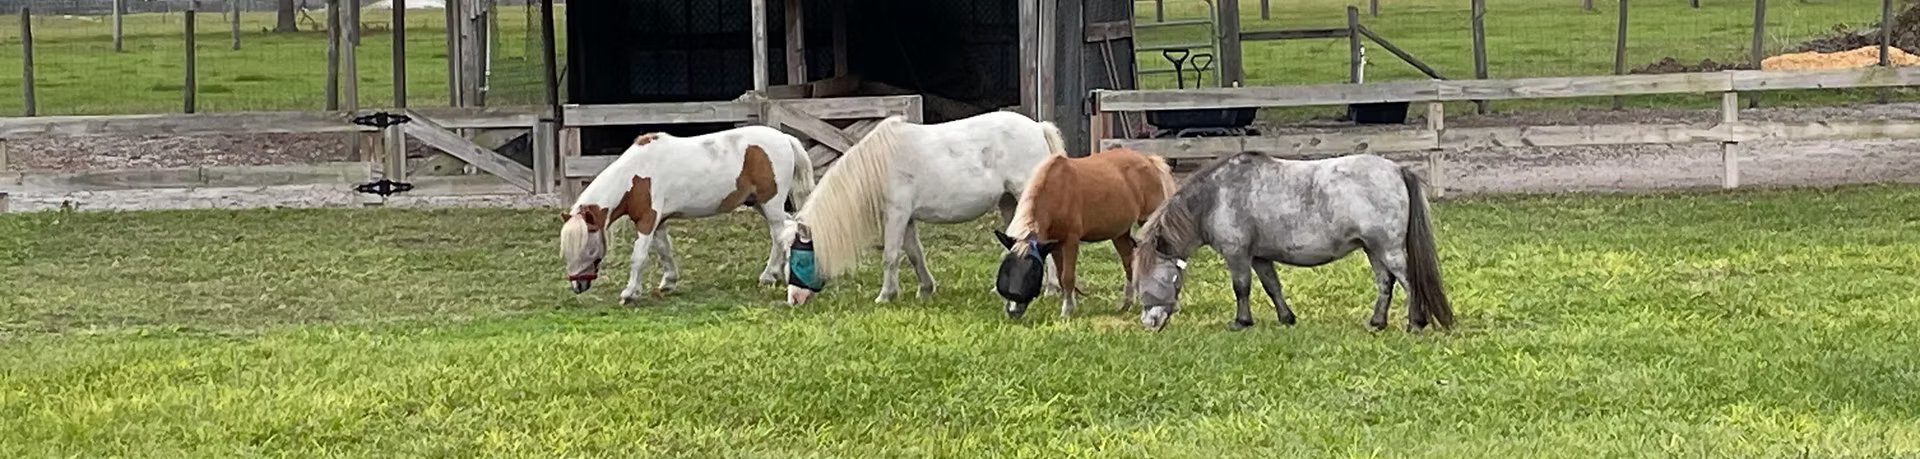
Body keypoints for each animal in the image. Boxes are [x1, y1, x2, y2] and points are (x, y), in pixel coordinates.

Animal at [559, 125, 816, 305]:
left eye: (588, 249)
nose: (577, 286)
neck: (635, 174)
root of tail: (785, 138)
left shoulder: (646, 221)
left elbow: (638, 257)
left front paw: (629, 293)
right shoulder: (658, 222)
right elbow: (664, 251)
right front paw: (668, 282)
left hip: (771, 204)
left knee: (780, 235)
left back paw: (770, 275)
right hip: (760, 204)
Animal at [780, 111, 1068, 305]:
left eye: (798, 259)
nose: (794, 299)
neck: (879, 165)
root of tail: (1038, 128)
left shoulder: (896, 214)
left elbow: (891, 256)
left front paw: (884, 296)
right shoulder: (906, 218)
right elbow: (914, 253)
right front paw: (925, 289)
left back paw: (1052, 288)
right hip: (1009, 202)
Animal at [992, 146, 1176, 319]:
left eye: (1032, 272)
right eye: (1006, 269)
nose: (1013, 311)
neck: (1055, 189)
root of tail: (1149, 160)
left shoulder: (1071, 240)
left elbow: (1067, 277)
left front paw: (1066, 311)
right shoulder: (1055, 245)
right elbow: (1060, 274)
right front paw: (1070, 305)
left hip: (1148, 221)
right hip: (1120, 233)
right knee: (1129, 263)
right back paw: (1127, 303)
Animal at [1130, 151, 1455, 332]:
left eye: (1153, 278)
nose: (1149, 322)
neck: (1216, 196)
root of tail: (1397, 170)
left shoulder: (1237, 255)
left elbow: (1241, 288)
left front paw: (1241, 322)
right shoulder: (1259, 257)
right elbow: (1272, 287)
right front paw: (1286, 317)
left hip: (1388, 249)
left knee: (1409, 282)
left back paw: (1416, 323)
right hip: (1374, 250)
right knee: (1385, 284)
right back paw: (1377, 322)